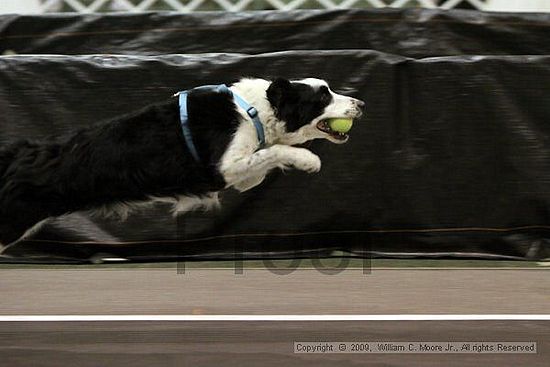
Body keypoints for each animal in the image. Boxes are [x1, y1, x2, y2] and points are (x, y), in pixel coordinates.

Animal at [0, 78, 366, 249]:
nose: (361, 104)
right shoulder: (223, 168)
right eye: (323, 96)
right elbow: (275, 151)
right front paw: (309, 160)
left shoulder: (240, 173)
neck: (252, 110)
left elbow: (265, 159)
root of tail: (19, 154)